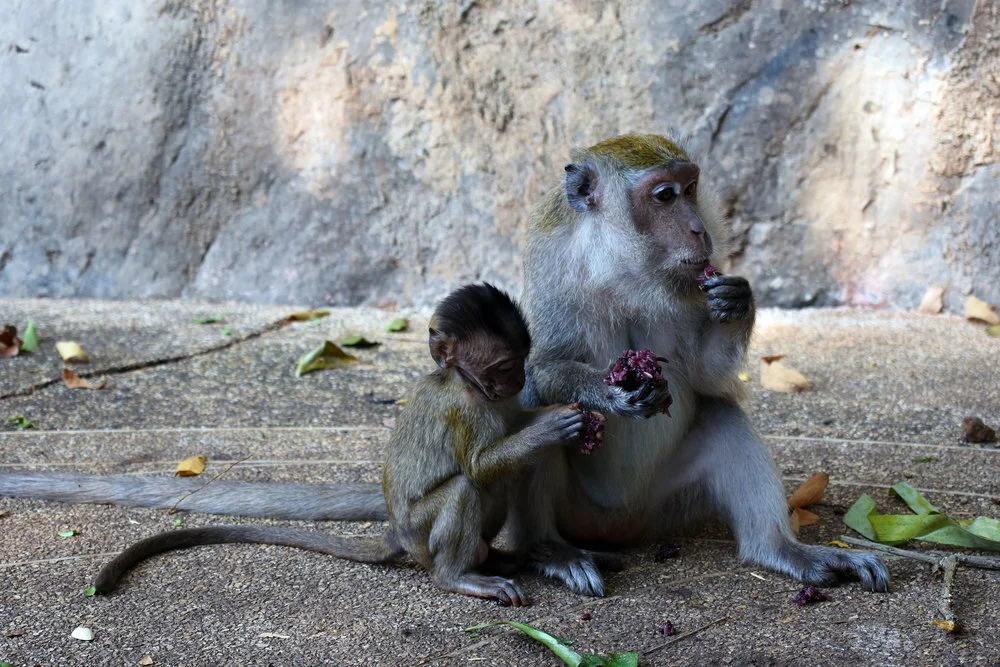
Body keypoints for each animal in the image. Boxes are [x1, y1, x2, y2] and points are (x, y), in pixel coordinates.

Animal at [86, 283, 591, 606]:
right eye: (505, 365)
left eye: (522, 361)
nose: (520, 378)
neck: (465, 383)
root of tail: (397, 535)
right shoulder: (461, 409)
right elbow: (480, 467)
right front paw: (551, 429)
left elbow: (511, 438)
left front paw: (562, 415)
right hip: (420, 534)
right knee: (467, 488)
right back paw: (460, 577)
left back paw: (501, 557)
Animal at [511, 133, 889, 595]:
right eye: (664, 196)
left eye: (690, 189)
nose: (700, 230)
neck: (618, 267)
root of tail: (619, 528)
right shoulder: (553, 262)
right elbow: (544, 367)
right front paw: (611, 390)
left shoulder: (693, 284)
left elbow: (705, 376)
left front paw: (738, 300)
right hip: (580, 513)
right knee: (539, 410)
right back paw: (552, 550)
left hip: (663, 505)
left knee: (722, 416)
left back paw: (782, 550)